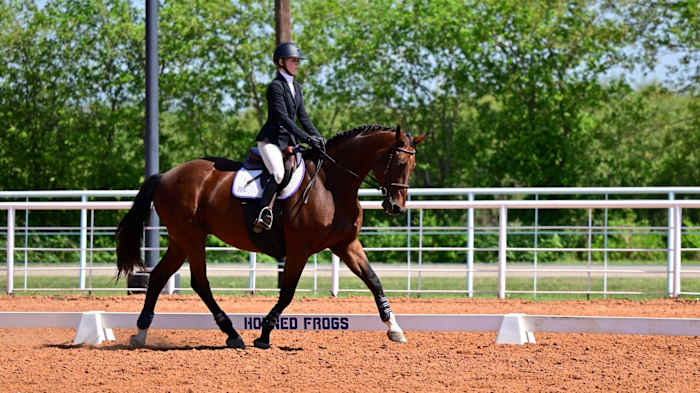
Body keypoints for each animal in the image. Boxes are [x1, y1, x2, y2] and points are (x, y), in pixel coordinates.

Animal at [115, 124, 426, 348]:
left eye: (412, 166)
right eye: (398, 162)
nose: (396, 207)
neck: (331, 185)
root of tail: (165, 176)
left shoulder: (346, 244)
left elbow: (374, 280)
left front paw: (395, 329)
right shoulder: (300, 250)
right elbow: (287, 293)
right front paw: (263, 335)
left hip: (181, 241)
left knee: (158, 277)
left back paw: (141, 334)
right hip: (192, 237)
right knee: (199, 282)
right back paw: (232, 334)